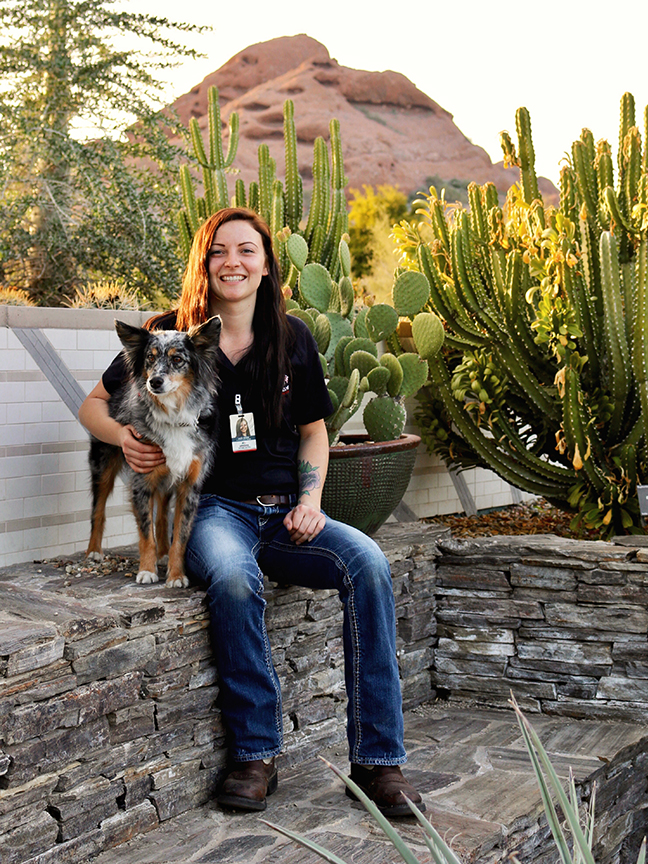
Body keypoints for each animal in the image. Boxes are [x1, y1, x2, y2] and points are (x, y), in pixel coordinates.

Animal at [85, 318, 221, 588]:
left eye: (178, 359)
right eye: (150, 357)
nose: (154, 382)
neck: (173, 417)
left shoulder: (189, 486)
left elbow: (180, 535)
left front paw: (176, 574)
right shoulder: (142, 482)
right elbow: (145, 532)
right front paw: (146, 571)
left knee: (162, 515)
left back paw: (163, 553)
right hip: (102, 465)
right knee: (99, 508)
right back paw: (94, 551)